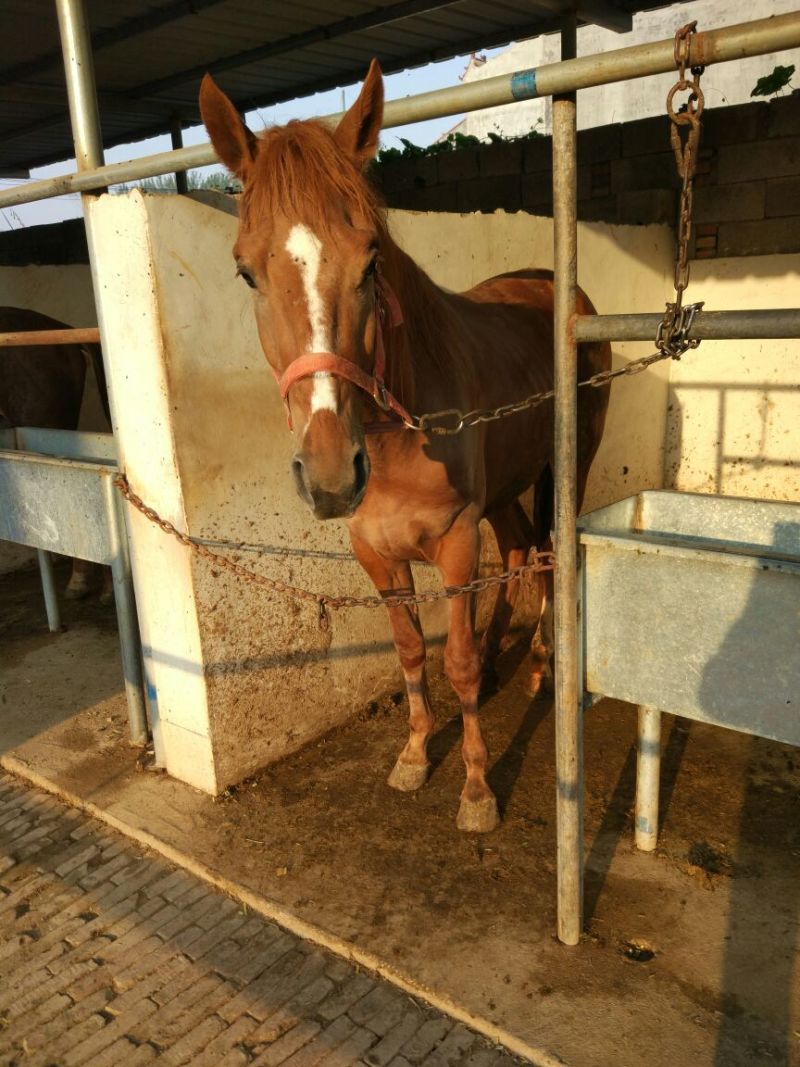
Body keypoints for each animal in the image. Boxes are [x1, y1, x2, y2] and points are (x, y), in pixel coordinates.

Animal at [199, 60, 611, 832]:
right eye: (245, 271)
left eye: (371, 262)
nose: (332, 476)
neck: (393, 435)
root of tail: (563, 290)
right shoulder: (374, 550)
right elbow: (413, 650)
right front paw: (417, 754)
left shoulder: (454, 540)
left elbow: (457, 666)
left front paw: (477, 789)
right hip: (504, 488)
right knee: (520, 549)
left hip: (565, 464)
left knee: (550, 552)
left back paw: (544, 662)